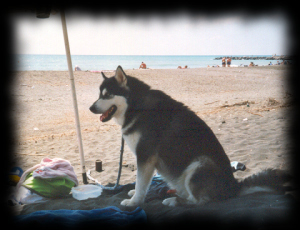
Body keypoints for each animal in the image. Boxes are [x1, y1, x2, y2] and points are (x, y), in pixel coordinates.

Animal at [89, 65, 288, 207]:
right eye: (99, 95)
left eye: (107, 95)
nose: (91, 108)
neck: (136, 106)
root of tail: (233, 186)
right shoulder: (147, 159)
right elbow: (142, 183)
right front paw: (136, 194)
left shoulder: (146, 155)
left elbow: (140, 182)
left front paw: (134, 202)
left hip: (198, 165)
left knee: (199, 202)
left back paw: (174, 201)